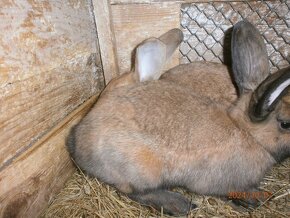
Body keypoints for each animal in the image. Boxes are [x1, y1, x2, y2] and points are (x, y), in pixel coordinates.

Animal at [68, 21, 290, 215]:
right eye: (285, 124)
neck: (247, 133)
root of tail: (77, 139)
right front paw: (256, 197)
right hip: (143, 171)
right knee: (133, 191)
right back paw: (179, 205)